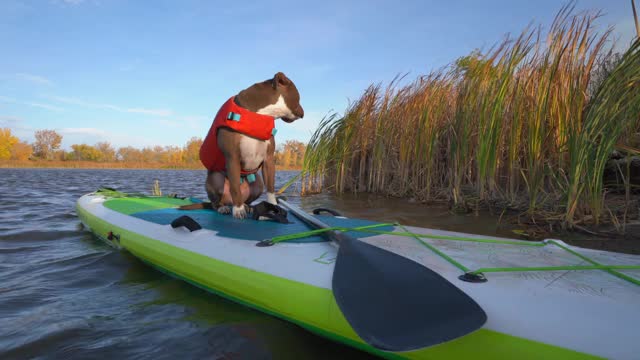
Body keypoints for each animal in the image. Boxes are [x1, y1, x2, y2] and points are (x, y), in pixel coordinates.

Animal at [196, 71, 304, 218]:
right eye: (299, 97)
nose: (303, 113)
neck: (259, 114)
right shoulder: (232, 157)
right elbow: (235, 187)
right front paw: (238, 210)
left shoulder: (269, 159)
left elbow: (271, 187)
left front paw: (273, 206)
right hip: (215, 179)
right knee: (216, 202)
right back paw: (224, 207)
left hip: (257, 183)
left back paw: (248, 207)